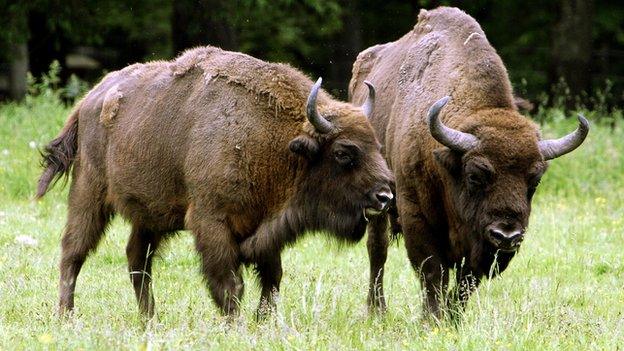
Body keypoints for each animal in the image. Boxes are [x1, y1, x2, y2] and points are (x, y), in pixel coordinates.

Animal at [36, 46, 390, 320]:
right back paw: (66, 315)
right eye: (344, 152)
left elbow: (272, 277)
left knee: (137, 258)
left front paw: (263, 320)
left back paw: (149, 318)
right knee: (74, 250)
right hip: (89, 193)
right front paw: (237, 323)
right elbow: (230, 283)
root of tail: (87, 101)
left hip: (149, 215)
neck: (276, 141)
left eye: (377, 145)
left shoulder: (266, 229)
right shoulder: (212, 222)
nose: (385, 195)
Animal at [348, 6, 588, 320]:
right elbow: (432, 271)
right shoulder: (416, 215)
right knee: (378, 250)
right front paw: (432, 319)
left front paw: (453, 319)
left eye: (534, 181)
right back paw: (377, 310)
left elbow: (466, 281)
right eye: (475, 175)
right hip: (379, 204)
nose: (506, 234)